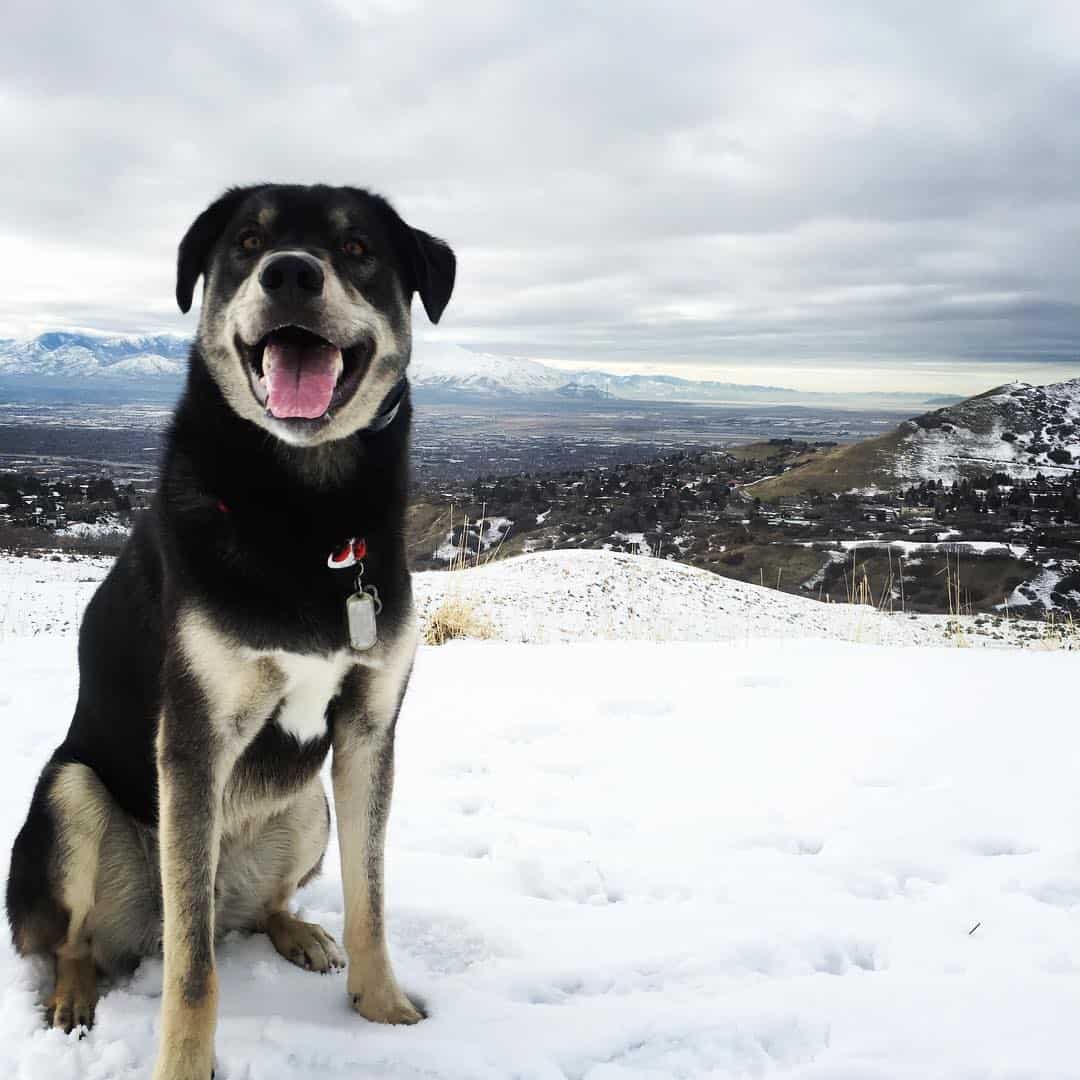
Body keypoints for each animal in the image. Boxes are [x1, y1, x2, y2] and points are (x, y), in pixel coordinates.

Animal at [5, 185, 451, 1080]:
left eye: (357, 249)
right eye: (247, 242)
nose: (290, 274)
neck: (307, 520)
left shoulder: (368, 731)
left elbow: (371, 898)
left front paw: (384, 1010)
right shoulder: (195, 736)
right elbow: (193, 971)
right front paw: (183, 1066)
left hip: (307, 808)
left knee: (252, 911)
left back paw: (298, 933)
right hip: (71, 796)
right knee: (92, 939)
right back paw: (72, 995)